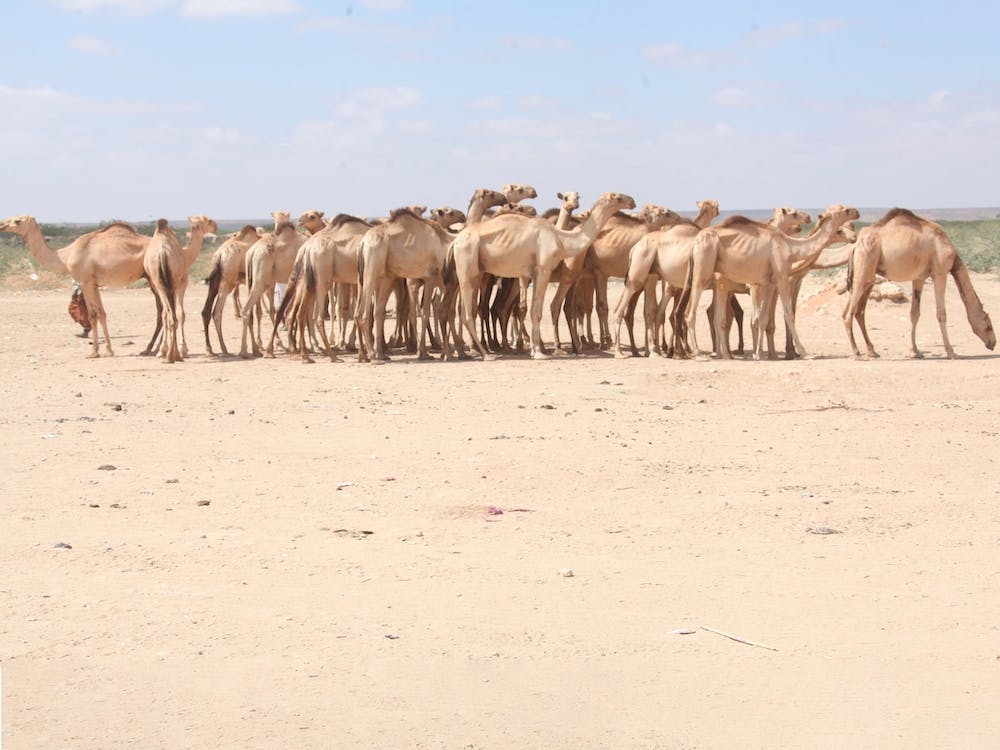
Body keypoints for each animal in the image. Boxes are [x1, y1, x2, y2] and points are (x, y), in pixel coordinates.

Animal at [0, 214, 156, 358]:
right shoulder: (94, 284)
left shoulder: (84, 281)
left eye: (17, 221)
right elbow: (102, 313)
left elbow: (93, 314)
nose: (2, 224)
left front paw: (94, 352)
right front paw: (109, 351)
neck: (65, 256)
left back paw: (152, 350)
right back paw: (151, 350)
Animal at [201, 225, 261, 355]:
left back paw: (211, 348)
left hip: (215, 282)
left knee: (206, 311)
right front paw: (256, 348)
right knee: (216, 312)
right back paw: (223, 347)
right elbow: (252, 314)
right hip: (227, 283)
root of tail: (219, 255)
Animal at [449, 191, 637, 359]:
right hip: (467, 266)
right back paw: (485, 353)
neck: (561, 239)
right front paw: (540, 353)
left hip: (476, 272)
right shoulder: (543, 270)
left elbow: (532, 309)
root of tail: (456, 240)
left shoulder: (533, 273)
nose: (632, 201)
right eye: (617, 197)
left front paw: (534, 350)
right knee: (467, 314)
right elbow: (536, 311)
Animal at [684, 204, 860, 360]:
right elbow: (787, 314)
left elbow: (762, 319)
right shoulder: (779, 278)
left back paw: (723, 354)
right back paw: (699, 353)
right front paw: (803, 352)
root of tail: (695, 242)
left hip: (719, 284)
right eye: (845, 210)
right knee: (691, 312)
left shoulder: (769, 283)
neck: (791, 247)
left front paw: (761, 353)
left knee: (716, 316)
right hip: (703, 269)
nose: (857, 212)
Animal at [843, 208, 995, 358]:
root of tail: (856, 245)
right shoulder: (940, 273)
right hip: (864, 267)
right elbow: (941, 313)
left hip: (868, 275)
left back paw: (872, 351)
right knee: (848, 313)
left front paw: (914, 351)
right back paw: (856, 352)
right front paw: (951, 352)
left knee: (858, 312)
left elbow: (914, 313)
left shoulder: (919, 278)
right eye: (989, 326)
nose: (993, 343)